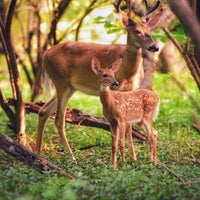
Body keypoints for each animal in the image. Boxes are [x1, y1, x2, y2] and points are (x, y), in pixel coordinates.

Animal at [36, 0, 161, 161]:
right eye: (137, 31)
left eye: (149, 30)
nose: (155, 47)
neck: (128, 71)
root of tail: (45, 55)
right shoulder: (115, 88)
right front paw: (125, 158)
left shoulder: (133, 89)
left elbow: (129, 125)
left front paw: (133, 158)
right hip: (61, 81)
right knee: (58, 119)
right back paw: (72, 158)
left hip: (70, 86)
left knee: (43, 110)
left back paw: (38, 153)